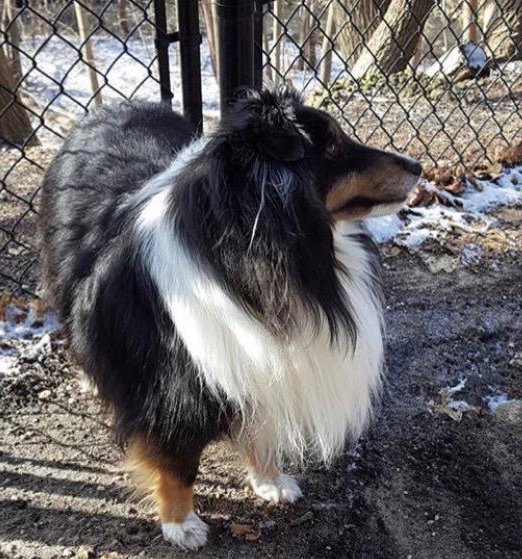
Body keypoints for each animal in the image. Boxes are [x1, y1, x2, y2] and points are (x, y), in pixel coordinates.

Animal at [39, 88, 418, 552]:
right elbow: (178, 464)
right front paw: (181, 525)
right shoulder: (170, 393)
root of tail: (112, 107)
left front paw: (270, 481)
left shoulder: (260, 361)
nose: (417, 167)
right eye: (330, 147)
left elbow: (260, 428)